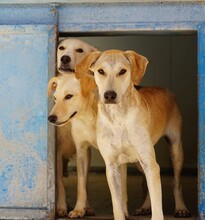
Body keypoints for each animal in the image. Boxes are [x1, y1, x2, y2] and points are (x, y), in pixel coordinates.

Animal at [76, 49, 191, 220]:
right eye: (101, 71)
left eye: (122, 71)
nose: (109, 95)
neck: (118, 118)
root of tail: (165, 89)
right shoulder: (112, 166)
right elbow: (117, 205)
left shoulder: (151, 163)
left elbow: (158, 206)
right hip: (140, 161)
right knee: (146, 184)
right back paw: (145, 207)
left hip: (175, 148)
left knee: (176, 182)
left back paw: (181, 208)